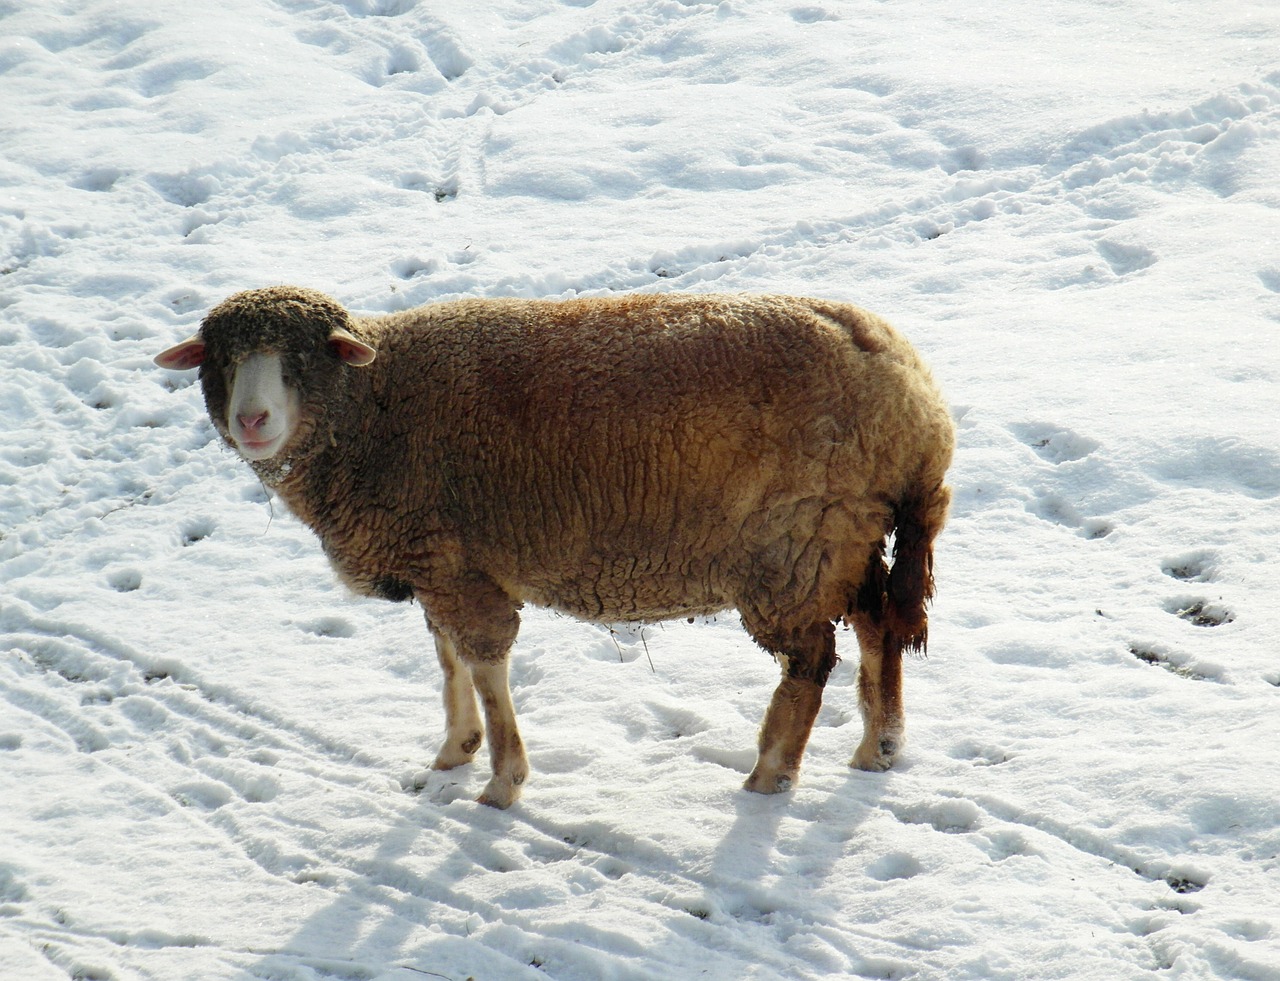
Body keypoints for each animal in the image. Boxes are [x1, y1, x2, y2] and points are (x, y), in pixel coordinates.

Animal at [154, 288, 957, 809]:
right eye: (220, 360)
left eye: (301, 358)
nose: (252, 419)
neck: (373, 407)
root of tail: (918, 407)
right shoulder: (442, 557)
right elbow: (448, 657)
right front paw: (456, 748)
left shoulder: (454, 565)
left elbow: (484, 663)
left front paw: (501, 781)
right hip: (845, 534)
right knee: (877, 624)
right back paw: (878, 747)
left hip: (794, 546)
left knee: (811, 660)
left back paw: (770, 775)